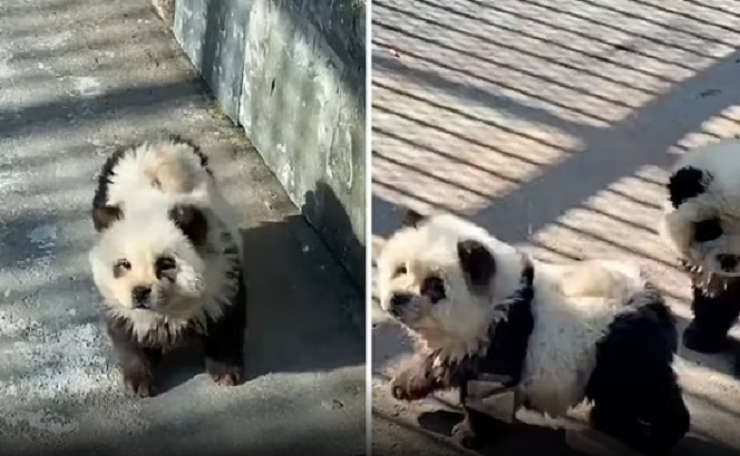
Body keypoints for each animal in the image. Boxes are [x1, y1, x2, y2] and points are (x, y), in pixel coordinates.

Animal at [88, 134, 246, 396]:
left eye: (165, 264)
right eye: (123, 264)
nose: (140, 292)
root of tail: (154, 143)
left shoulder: (221, 275)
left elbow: (226, 322)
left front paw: (226, 373)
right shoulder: (118, 301)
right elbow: (126, 332)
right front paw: (140, 381)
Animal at [378, 209, 692, 452]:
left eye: (434, 286)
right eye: (401, 269)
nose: (397, 299)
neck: (499, 300)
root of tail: (653, 302)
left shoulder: (502, 338)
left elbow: (486, 394)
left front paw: (470, 435)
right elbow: (442, 360)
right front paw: (404, 383)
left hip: (620, 350)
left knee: (646, 391)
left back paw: (658, 435)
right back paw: (612, 422)